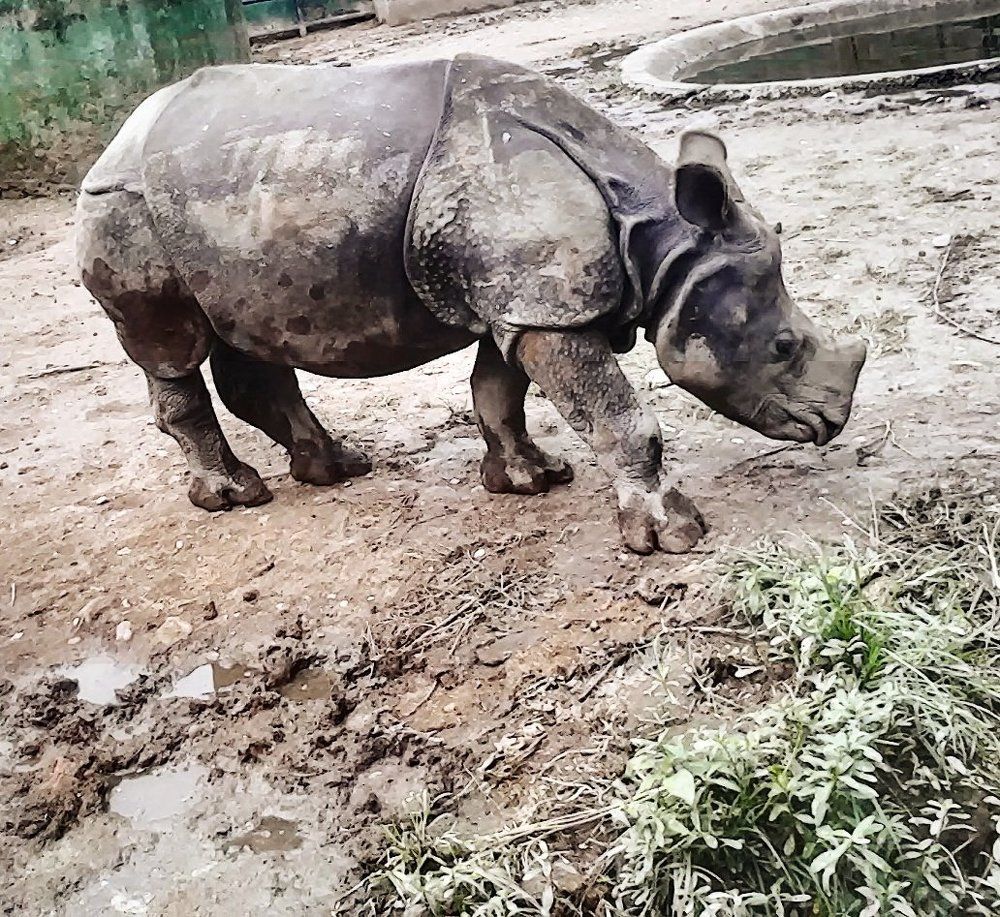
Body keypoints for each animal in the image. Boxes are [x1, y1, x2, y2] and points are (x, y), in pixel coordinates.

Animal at [76, 55, 865, 554]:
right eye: (783, 348)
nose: (831, 424)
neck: (661, 241)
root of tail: (116, 139)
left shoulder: (520, 302)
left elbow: (497, 391)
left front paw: (529, 480)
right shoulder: (545, 307)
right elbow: (621, 418)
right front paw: (675, 535)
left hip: (233, 202)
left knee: (247, 339)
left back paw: (336, 467)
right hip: (122, 208)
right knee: (171, 348)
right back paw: (236, 496)